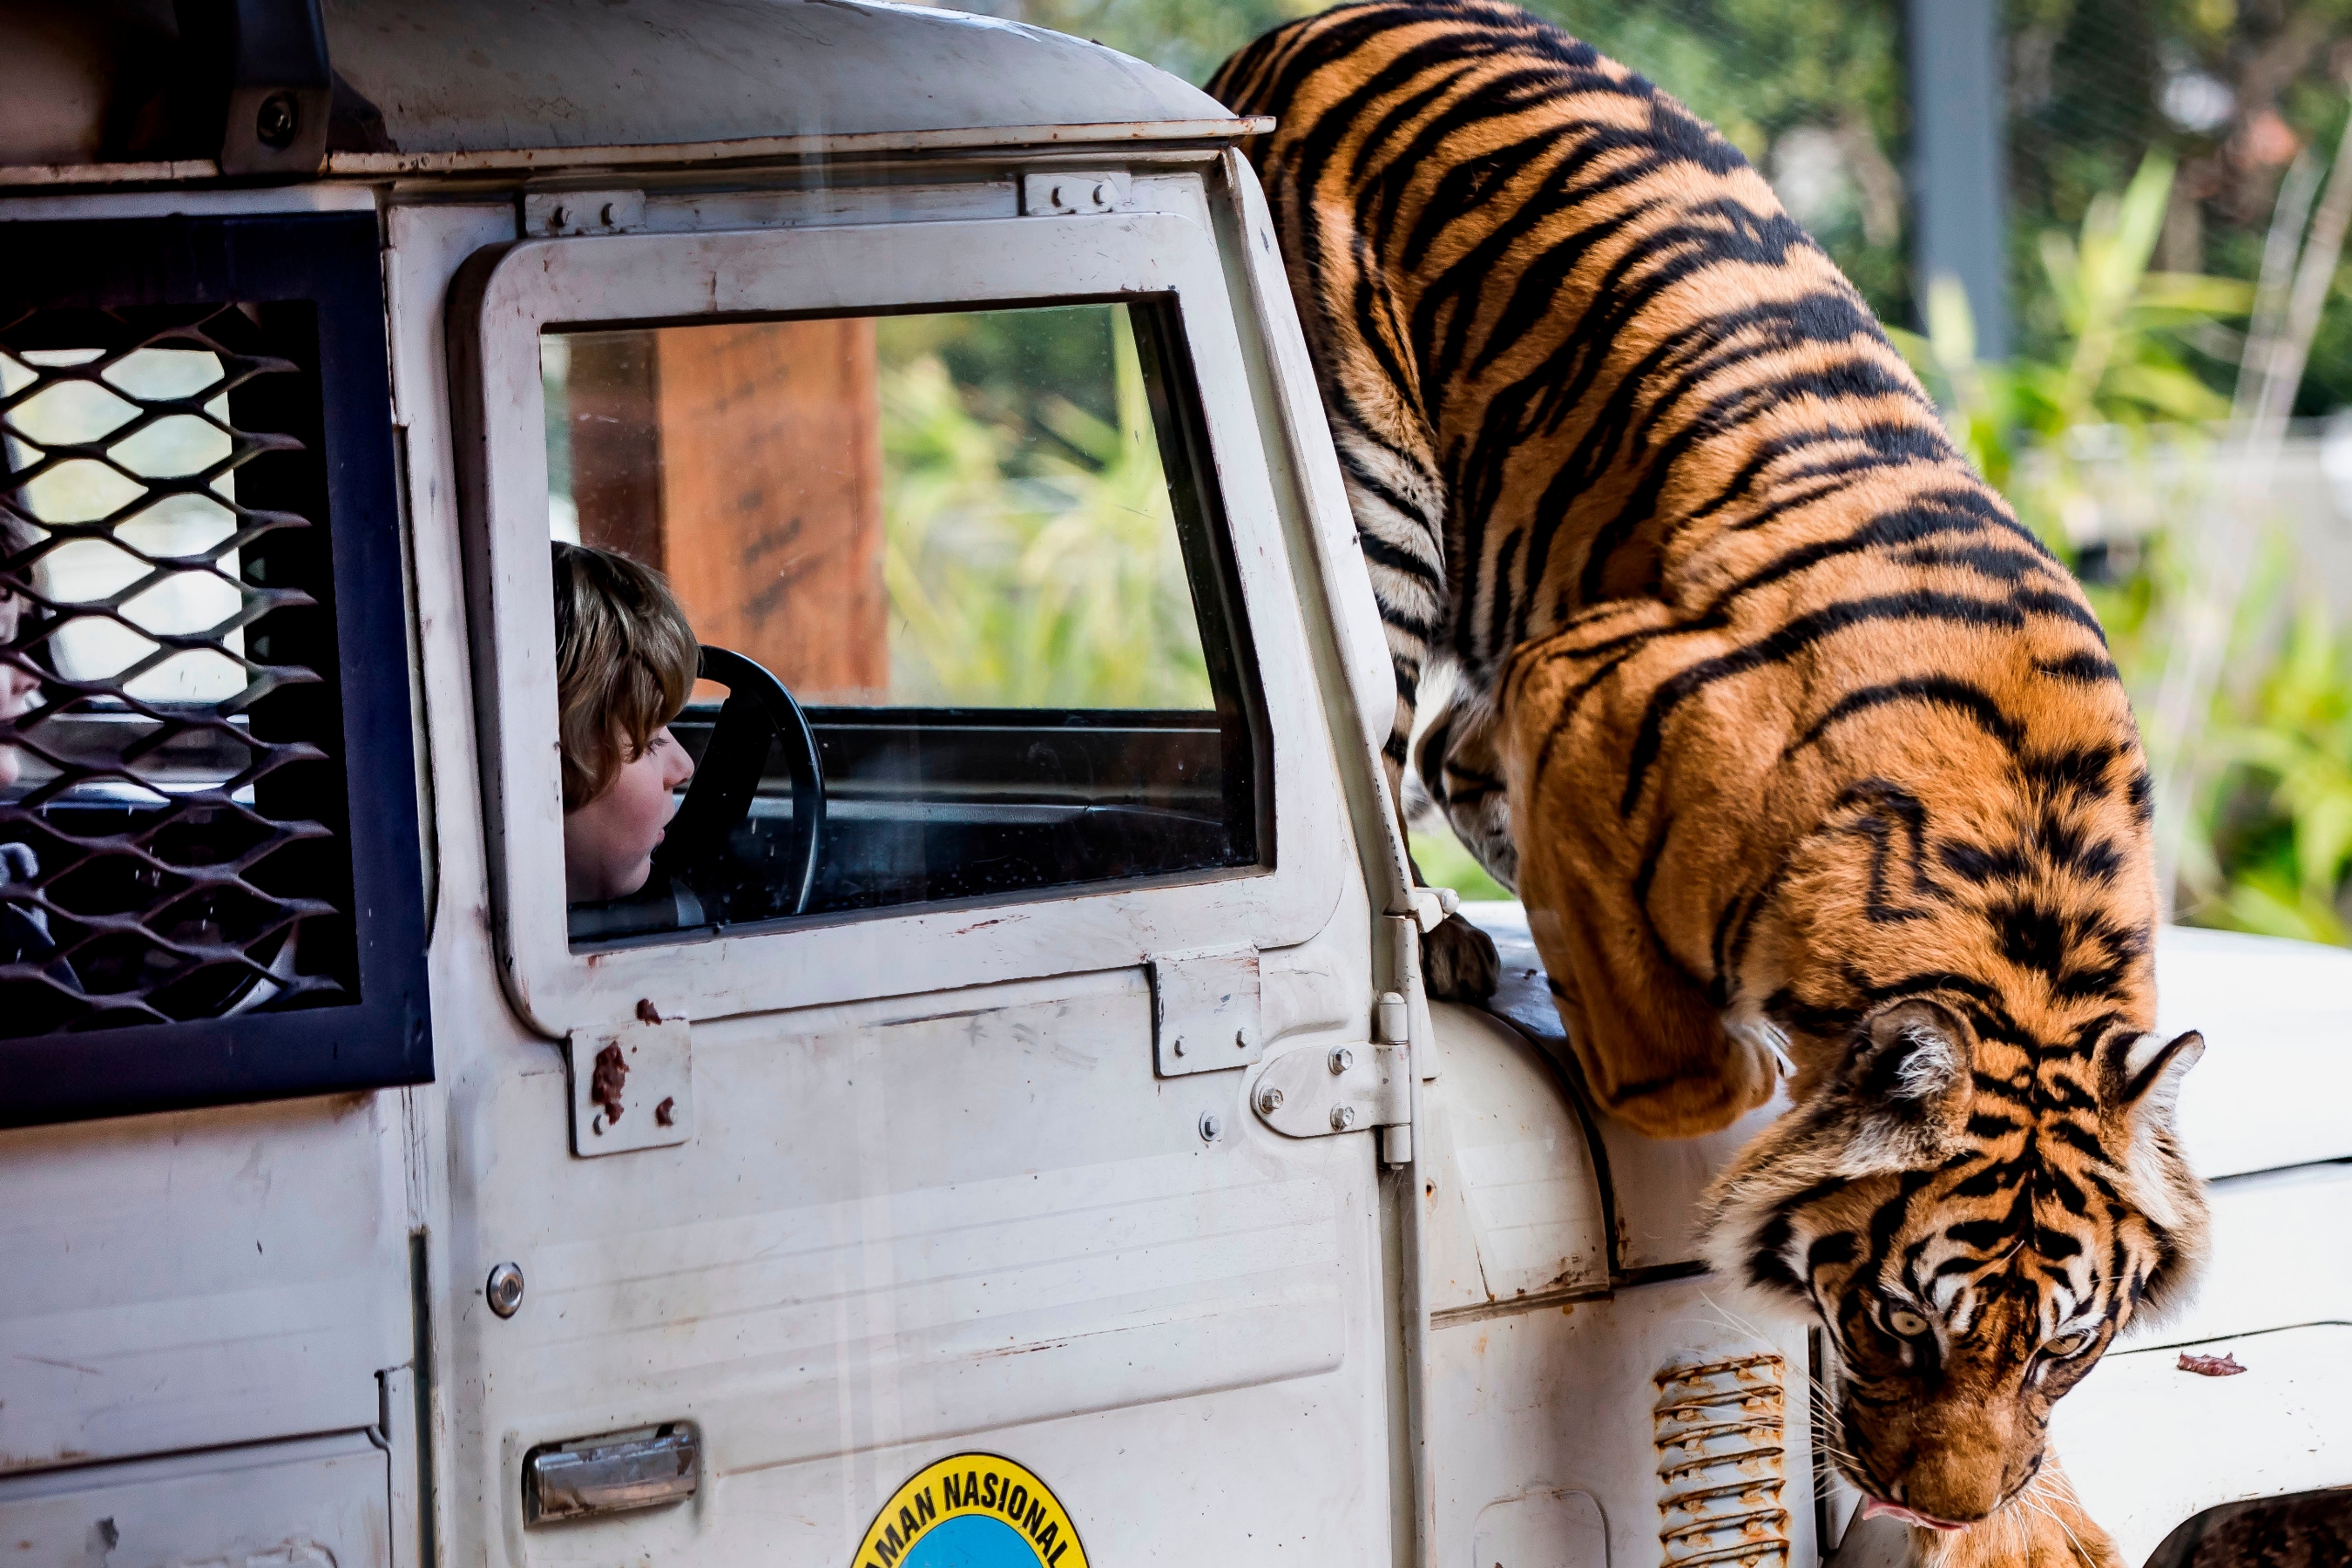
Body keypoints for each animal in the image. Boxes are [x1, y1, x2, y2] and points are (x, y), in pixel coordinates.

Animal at [1213, 6, 2201, 1560]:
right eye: (1905, 1328)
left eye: (2060, 1348)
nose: (1930, 1501)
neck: (2018, 925)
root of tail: (1306, 22)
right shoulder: (1583, 674)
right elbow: (1682, 1079)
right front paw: (1728, 1076)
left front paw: (2031, 1522)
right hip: (1372, 499)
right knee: (1385, 741)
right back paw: (1441, 935)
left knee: (1441, 753)